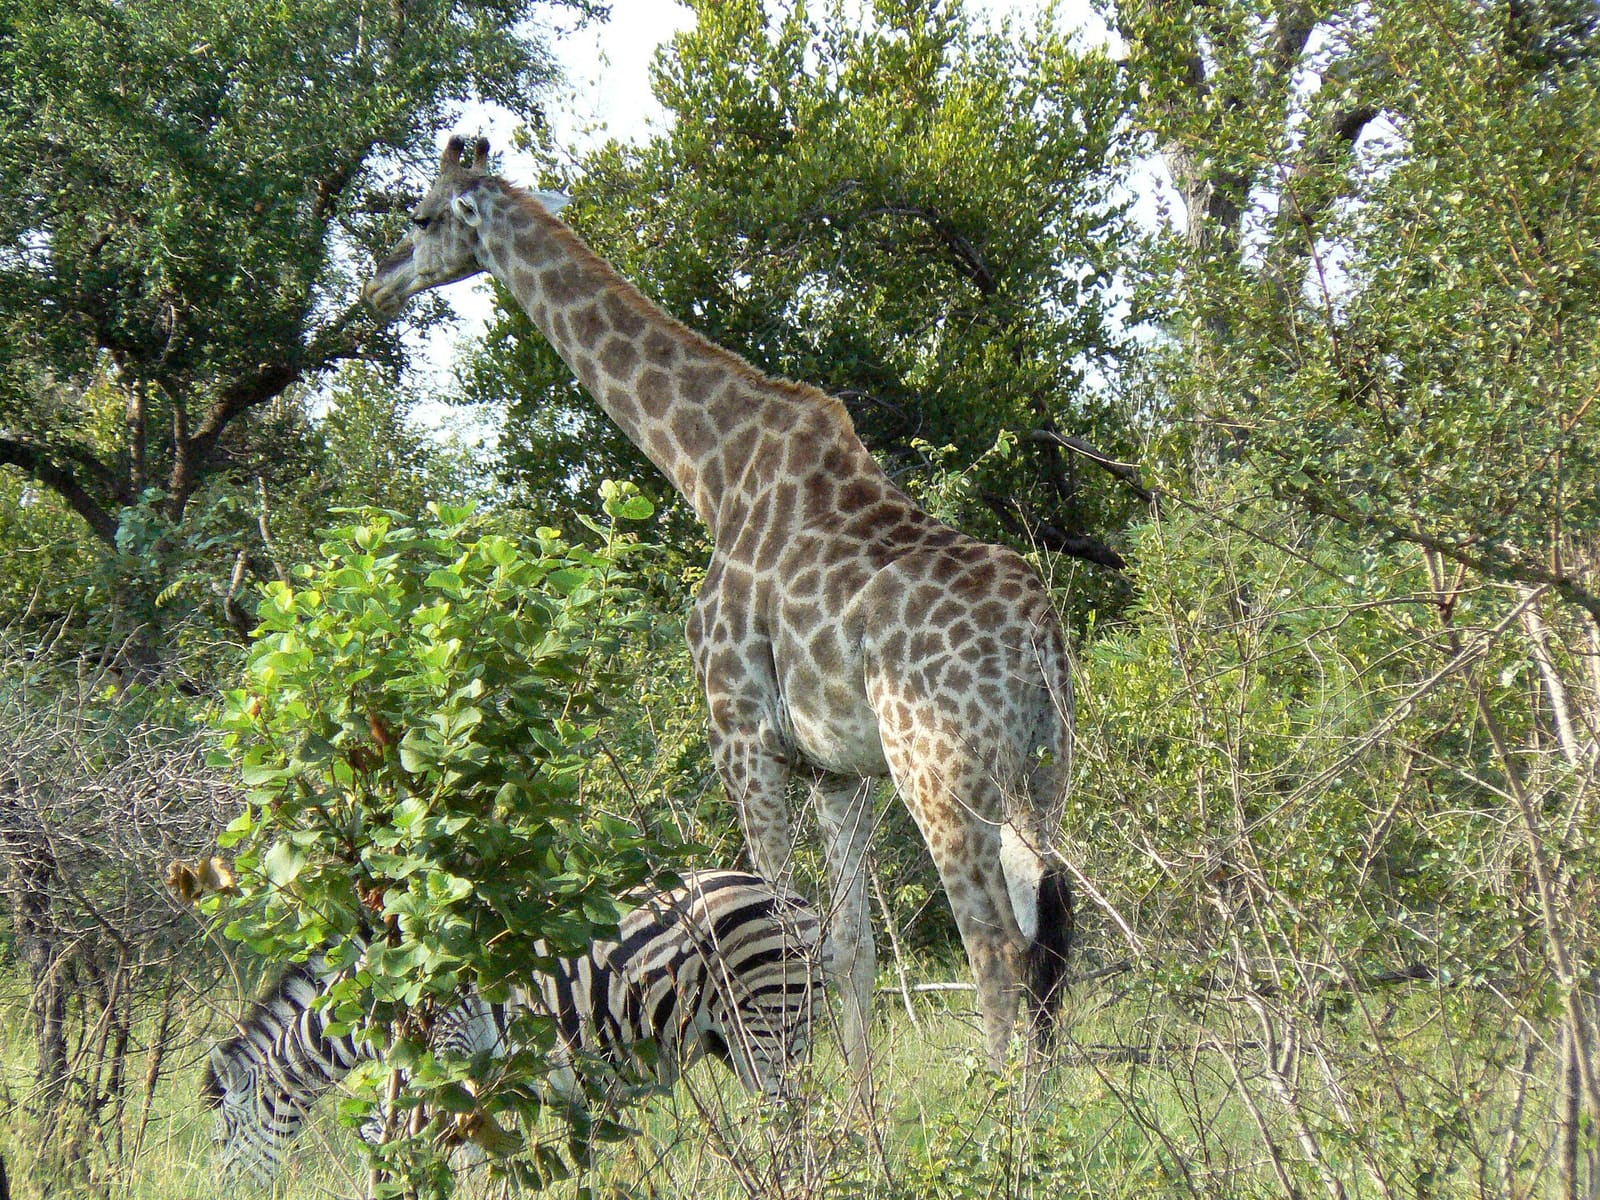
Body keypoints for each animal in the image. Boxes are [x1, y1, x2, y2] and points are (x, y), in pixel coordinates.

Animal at [202, 869, 830, 1184]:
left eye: (223, 1137)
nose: (217, 1186)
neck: (387, 996)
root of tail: (787, 894)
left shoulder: (444, 1051)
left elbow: (442, 1159)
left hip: (766, 1027)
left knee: (794, 1126)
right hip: (745, 1037)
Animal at [364, 137, 1076, 1073]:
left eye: (419, 216)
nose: (374, 285)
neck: (710, 470)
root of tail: (1038, 636)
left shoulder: (741, 733)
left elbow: (774, 927)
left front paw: (798, 1109)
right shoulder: (837, 772)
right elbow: (852, 950)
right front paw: (858, 1106)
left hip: (941, 770)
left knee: (993, 943)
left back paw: (997, 1111)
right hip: (1044, 771)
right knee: (1051, 935)